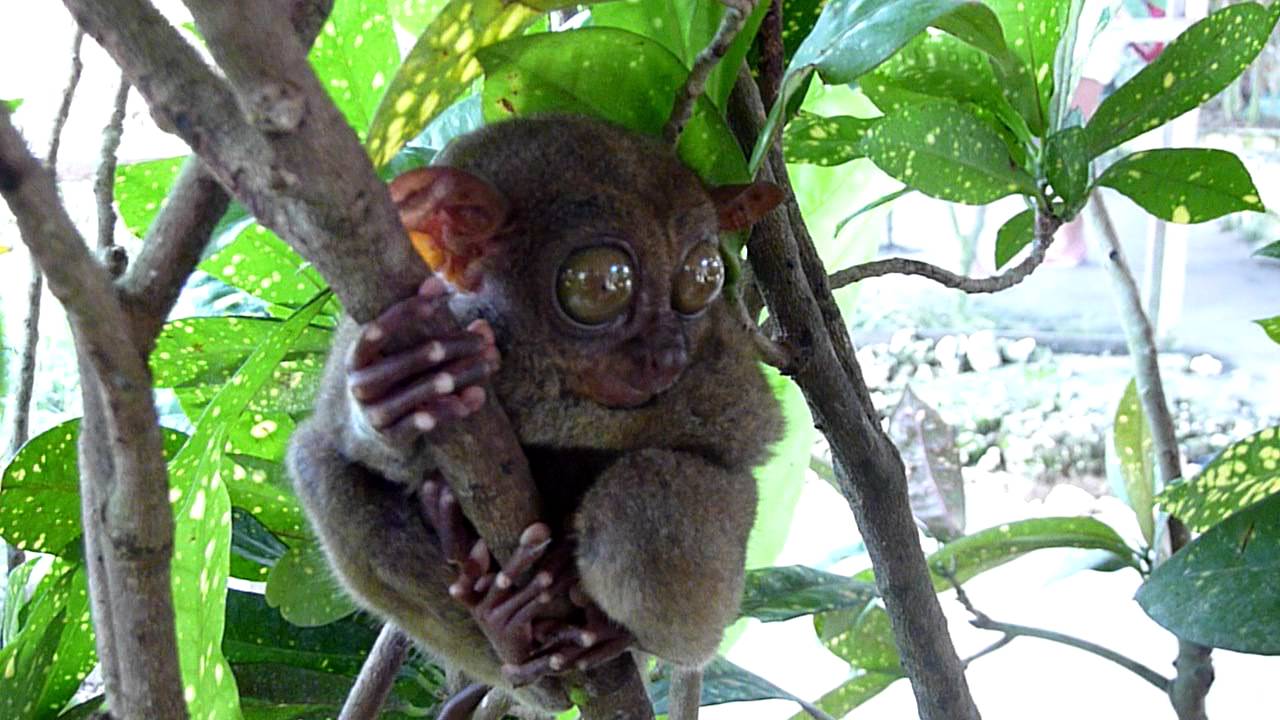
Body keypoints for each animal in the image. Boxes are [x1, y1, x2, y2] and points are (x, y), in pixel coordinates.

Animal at [286, 114, 786, 717]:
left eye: (704, 276)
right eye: (598, 283)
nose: (667, 354)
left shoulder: (724, 349)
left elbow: (741, 423)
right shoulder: (382, 310)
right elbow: (336, 420)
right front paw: (392, 392)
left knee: (643, 490)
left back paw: (602, 630)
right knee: (318, 465)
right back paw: (505, 629)